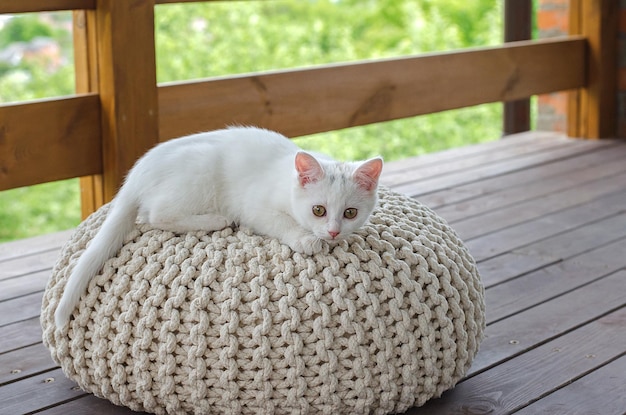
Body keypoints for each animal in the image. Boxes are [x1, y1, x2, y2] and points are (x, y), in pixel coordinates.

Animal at [53, 127, 382, 328]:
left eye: (350, 212)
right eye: (318, 210)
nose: (334, 231)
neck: (286, 179)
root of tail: (136, 173)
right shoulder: (255, 206)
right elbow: (281, 222)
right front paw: (306, 239)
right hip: (199, 173)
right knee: (155, 214)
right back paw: (216, 219)